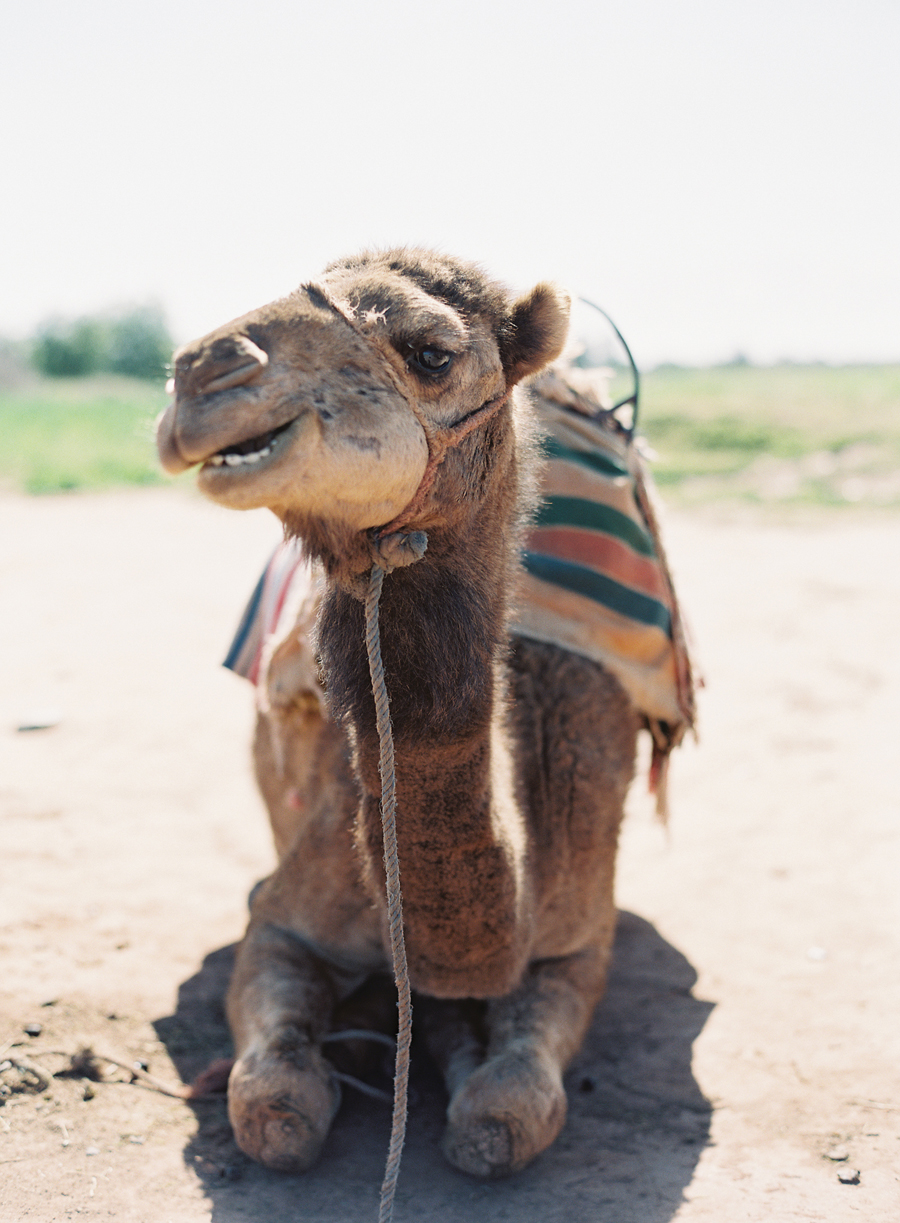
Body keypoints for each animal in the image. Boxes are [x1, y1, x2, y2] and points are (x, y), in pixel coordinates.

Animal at [156, 248, 679, 1180]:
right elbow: (274, 1107)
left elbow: (506, 1112)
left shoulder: (579, 935)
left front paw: (458, 1053)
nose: (203, 372)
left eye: (430, 352)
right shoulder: (285, 924)